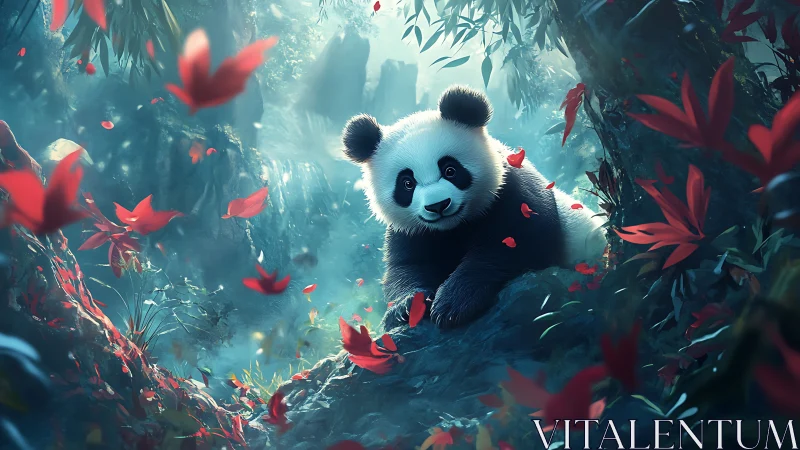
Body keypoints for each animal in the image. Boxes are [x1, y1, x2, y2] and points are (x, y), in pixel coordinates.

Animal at [341, 85, 607, 330]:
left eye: (450, 170)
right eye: (407, 183)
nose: (438, 205)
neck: (454, 227)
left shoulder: (510, 191)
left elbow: (517, 242)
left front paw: (452, 303)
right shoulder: (410, 230)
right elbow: (406, 267)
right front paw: (405, 309)